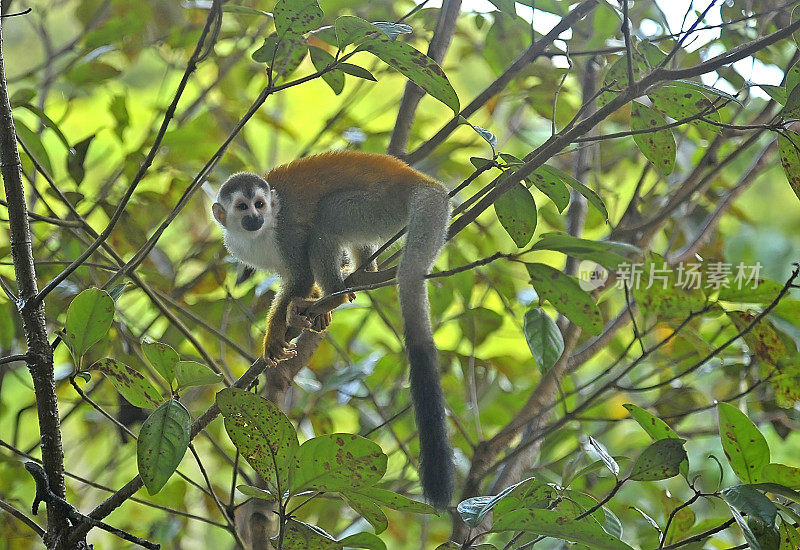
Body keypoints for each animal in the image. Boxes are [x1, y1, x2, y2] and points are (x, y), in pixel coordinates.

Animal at [212, 150, 454, 508]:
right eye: (242, 207)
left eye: (260, 204)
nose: (255, 217)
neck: (258, 235)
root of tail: (421, 183)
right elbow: (297, 277)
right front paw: (308, 307)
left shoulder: (285, 230)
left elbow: (300, 274)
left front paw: (277, 332)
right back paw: (360, 277)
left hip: (377, 208)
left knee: (327, 217)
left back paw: (335, 295)